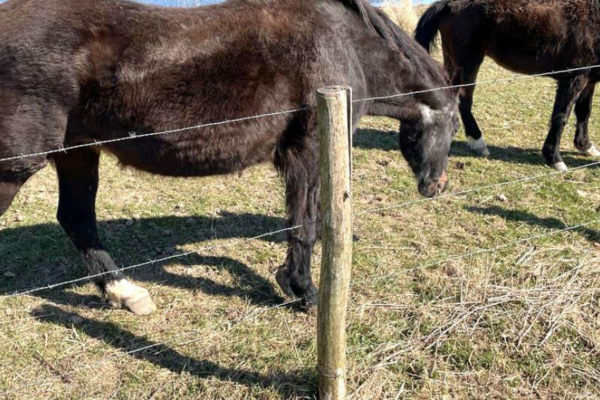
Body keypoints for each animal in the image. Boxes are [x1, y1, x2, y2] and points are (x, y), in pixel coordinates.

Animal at [1, 0, 460, 314]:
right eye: (455, 125)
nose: (437, 186)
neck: (344, 46)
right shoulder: (309, 153)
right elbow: (304, 225)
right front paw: (302, 290)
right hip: (17, 166)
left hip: (77, 152)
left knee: (77, 218)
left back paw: (126, 293)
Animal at [414, 0, 600, 170]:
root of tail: (448, 4)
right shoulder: (574, 77)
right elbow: (561, 116)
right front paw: (554, 157)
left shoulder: (589, 79)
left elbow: (584, 111)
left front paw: (585, 146)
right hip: (468, 65)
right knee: (464, 100)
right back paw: (477, 141)